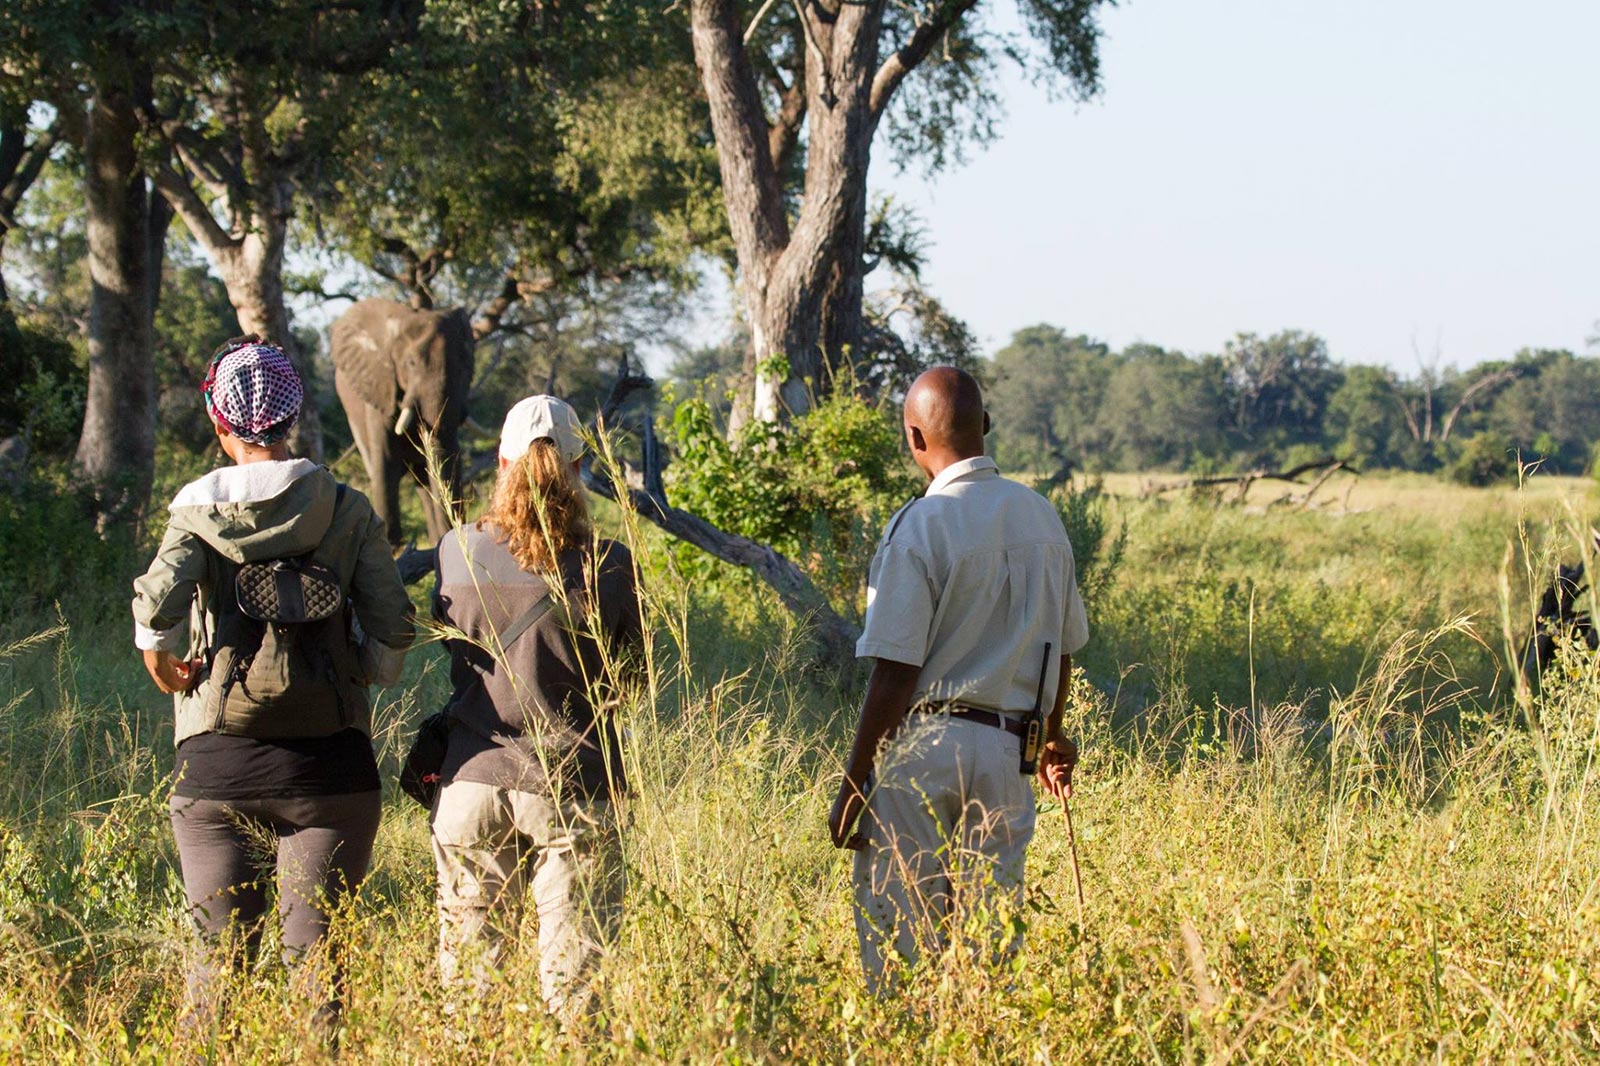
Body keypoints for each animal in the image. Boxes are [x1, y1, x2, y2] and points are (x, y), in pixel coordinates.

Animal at [328, 299, 470, 547]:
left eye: (465, 364)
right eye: (411, 363)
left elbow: (448, 459)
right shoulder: (380, 391)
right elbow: (385, 467)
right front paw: (392, 546)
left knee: (423, 481)